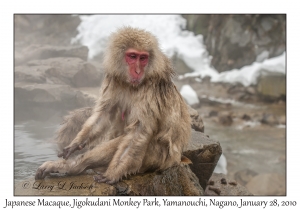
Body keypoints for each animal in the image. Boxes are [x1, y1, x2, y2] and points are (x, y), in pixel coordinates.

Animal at [35, 26, 190, 184]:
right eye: (132, 56)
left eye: (143, 58)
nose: (138, 71)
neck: (132, 85)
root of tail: (177, 159)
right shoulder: (114, 80)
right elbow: (104, 114)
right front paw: (76, 143)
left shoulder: (151, 92)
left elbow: (138, 131)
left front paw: (113, 173)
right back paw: (73, 166)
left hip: (159, 159)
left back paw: (75, 167)